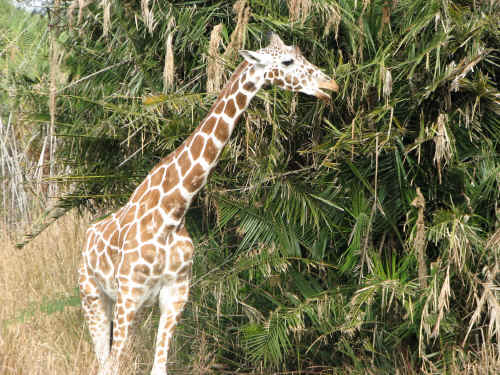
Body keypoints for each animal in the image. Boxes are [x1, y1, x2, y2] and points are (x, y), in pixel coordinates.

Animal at [80, 33, 338, 375]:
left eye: (301, 54)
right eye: (287, 62)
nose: (330, 85)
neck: (173, 211)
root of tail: (86, 238)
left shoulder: (175, 294)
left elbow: (159, 367)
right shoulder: (129, 296)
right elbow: (113, 366)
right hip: (95, 298)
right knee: (103, 360)